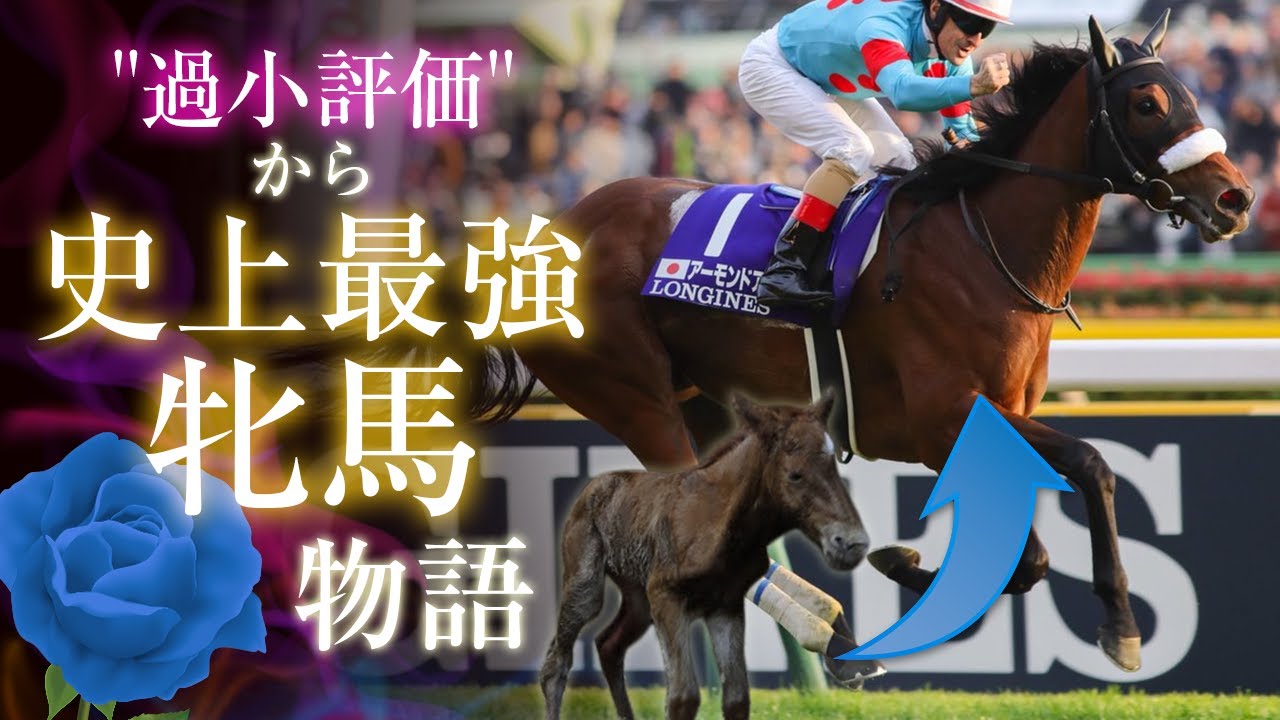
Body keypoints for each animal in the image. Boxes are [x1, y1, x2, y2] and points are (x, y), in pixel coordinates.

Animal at [476, 14, 1255, 676]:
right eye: (1148, 103)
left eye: (1190, 94)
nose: (1236, 199)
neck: (982, 248)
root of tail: (544, 236)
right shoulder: (942, 419)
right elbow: (1086, 471)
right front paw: (1119, 625)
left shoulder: (987, 419)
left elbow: (1032, 554)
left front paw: (907, 568)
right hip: (637, 400)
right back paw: (825, 629)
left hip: (706, 405)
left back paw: (833, 637)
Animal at [538, 393, 869, 720]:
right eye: (795, 475)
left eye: (833, 468)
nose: (852, 543)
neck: (722, 524)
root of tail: (592, 486)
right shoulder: (667, 597)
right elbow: (683, 697)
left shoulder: (725, 606)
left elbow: (736, 698)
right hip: (587, 585)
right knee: (556, 664)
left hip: (638, 599)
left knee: (609, 644)